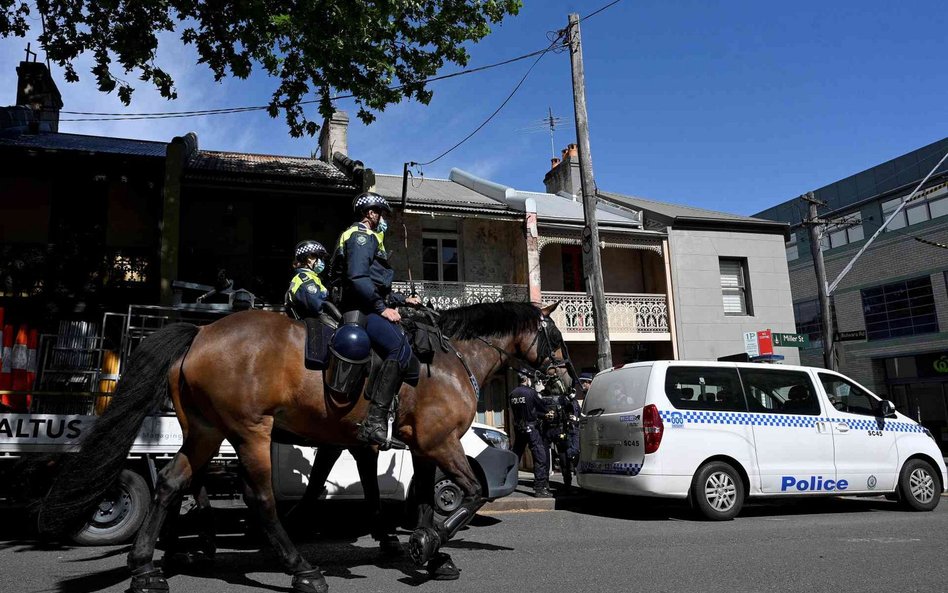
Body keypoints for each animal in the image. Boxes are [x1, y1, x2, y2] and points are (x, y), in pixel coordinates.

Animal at [39, 300, 572, 592]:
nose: (568, 384)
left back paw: (146, 569)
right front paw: (424, 545)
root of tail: (201, 332)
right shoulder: (440, 443)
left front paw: (429, 552)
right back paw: (301, 569)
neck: (452, 360)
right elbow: (471, 492)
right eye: (557, 337)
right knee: (258, 498)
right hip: (249, 431)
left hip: (206, 431)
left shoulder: (421, 448)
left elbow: (421, 500)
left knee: (172, 483)